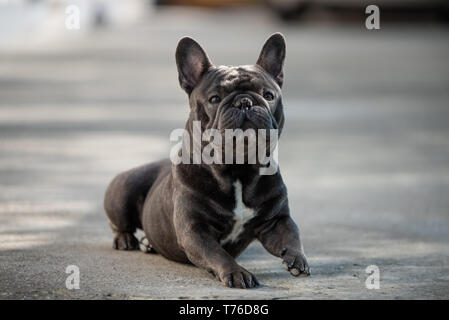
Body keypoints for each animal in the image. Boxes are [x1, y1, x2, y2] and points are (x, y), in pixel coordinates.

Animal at [103, 33, 310, 288]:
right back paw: (125, 240)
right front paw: (236, 272)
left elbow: (292, 234)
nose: (244, 102)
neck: (239, 170)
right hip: (124, 190)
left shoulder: (276, 221)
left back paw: (148, 243)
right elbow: (217, 253)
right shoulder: (195, 230)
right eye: (214, 98)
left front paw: (298, 258)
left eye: (268, 95)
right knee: (119, 223)